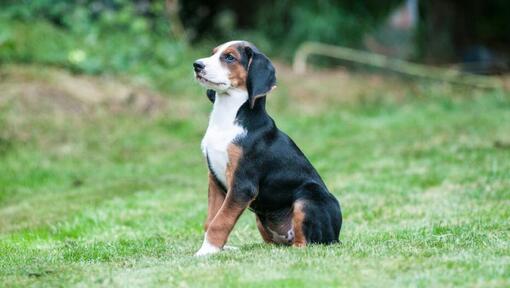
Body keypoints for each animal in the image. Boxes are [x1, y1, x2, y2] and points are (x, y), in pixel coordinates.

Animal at [193, 40, 340, 256]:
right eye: (213, 53)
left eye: (229, 57)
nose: (197, 65)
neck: (228, 117)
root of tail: (337, 236)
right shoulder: (215, 181)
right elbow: (211, 219)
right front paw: (215, 249)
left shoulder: (242, 186)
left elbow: (220, 221)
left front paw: (206, 252)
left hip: (307, 199)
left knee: (306, 243)